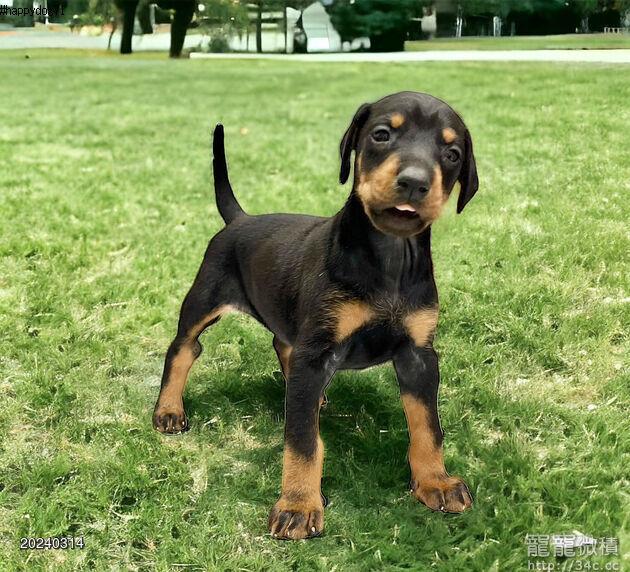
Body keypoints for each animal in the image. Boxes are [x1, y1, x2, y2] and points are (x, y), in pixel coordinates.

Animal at [153, 91, 479, 540]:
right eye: (381, 135)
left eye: (452, 154)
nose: (414, 182)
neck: (389, 258)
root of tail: (240, 219)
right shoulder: (318, 350)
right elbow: (303, 439)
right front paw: (298, 505)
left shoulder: (419, 354)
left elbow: (428, 425)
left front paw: (437, 482)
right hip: (204, 298)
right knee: (183, 348)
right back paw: (169, 409)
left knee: (282, 344)